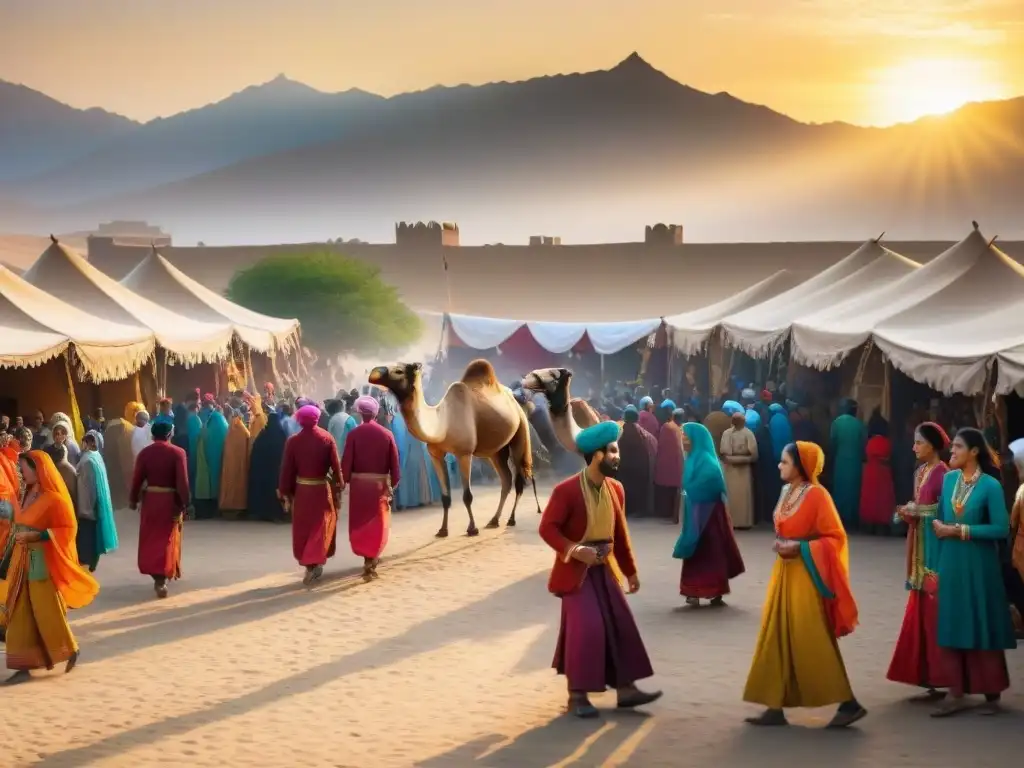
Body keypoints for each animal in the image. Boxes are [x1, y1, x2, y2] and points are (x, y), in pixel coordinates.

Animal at [370, 360, 536, 536]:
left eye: (399, 371)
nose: (374, 373)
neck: (442, 424)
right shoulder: (435, 454)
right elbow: (445, 497)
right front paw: (442, 530)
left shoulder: (464, 453)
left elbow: (467, 496)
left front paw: (472, 528)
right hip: (496, 451)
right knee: (506, 479)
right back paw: (494, 520)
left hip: (520, 432)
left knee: (519, 479)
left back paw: (511, 519)